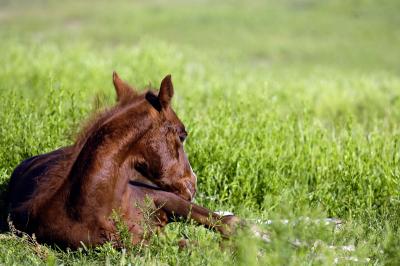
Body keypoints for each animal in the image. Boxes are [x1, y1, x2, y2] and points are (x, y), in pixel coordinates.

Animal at [7, 71, 239, 248]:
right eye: (182, 135)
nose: (192, 183)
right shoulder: (137, 245)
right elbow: (192, 244)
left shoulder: (165, 197)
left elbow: (229, 223)